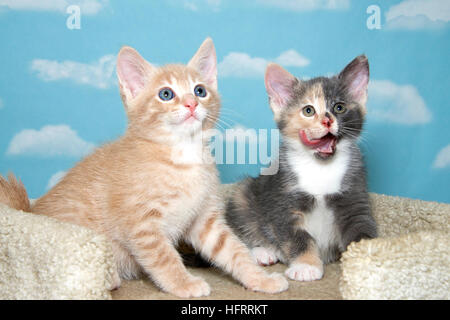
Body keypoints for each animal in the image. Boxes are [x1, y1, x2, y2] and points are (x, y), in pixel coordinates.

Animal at [0, 38, 288, 298]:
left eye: (199, 90)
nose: (192, 104)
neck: (183, 157)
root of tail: (30, 210)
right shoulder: (142, 225)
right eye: (166, 94)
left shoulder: (205, 219)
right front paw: (184, 284)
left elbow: (234, 250)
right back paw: (111, 279)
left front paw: (260, 279)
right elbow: (164, 257)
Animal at [225, 56, 376, 282]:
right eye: (308, 110)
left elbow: (361, 230)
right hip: (242, 194)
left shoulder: (354, 195)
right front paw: (306, 266)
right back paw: (262, 252)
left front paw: (367, 263)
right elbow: (297, 236)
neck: (320, 166)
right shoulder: (283, 200)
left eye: (339, 107)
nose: (327, 120)